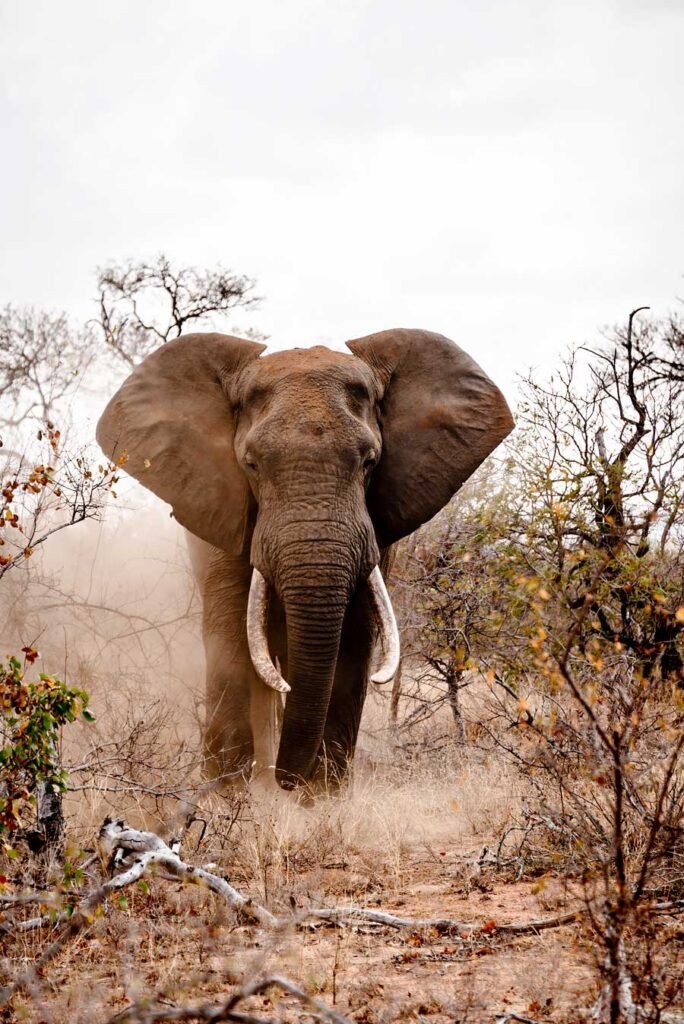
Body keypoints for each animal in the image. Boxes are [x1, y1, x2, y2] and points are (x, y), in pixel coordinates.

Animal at [97, 328, 514, 792]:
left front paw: (323, 796)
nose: (288, 781)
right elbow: (230, 636)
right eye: (251, 464)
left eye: (370, 462)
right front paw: (228, 796)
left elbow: (354, 638)